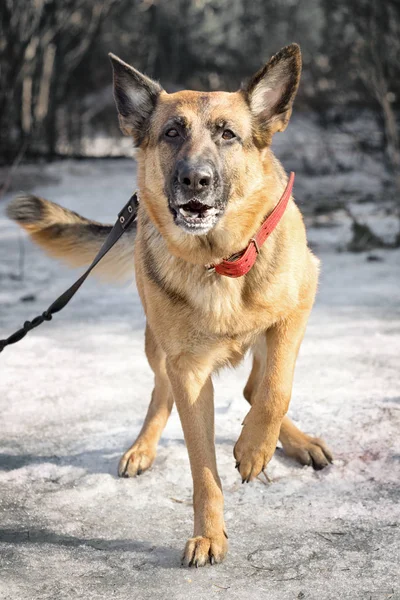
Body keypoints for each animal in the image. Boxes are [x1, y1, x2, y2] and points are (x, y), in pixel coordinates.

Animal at [7, 44, 332, 564]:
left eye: (227, 134)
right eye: (171, 133)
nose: (193, 180)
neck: (220, 262)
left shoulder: (295, 310)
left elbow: (276, 390)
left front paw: (255, 448)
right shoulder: (189, 371)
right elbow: (203, 468)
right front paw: (209, 534)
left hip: (261, 335)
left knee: (255, 387)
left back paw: (293, 443)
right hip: (156, 345)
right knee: (164, 392)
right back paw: (143, 447)